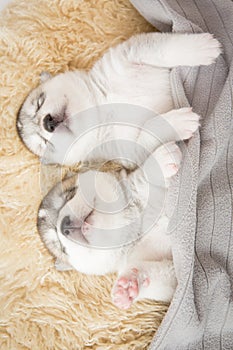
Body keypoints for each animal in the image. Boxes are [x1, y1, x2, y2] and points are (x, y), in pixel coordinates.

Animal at [16, 31, 220, 165]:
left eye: (39, 102)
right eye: (44, 143)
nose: (48, 123)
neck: (103, 107)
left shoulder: (129, 53)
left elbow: (164, 50)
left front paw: (200, 48)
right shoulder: (129, 151)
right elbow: (150, 130)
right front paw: (178, 122)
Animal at [36, 141, 182, 308]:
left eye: (69, 195)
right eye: (62, 248)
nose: (64, 226)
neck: (137, 230)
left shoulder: (135, 189)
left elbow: (140, 178)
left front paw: (162, 158)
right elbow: (166, 282)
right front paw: (129, 286)